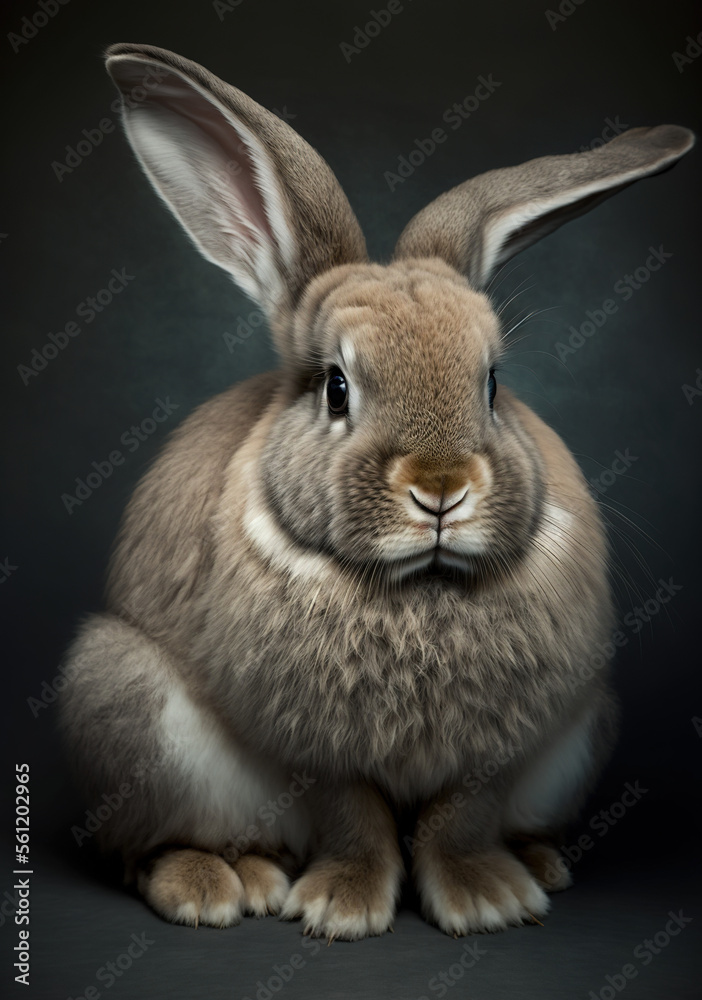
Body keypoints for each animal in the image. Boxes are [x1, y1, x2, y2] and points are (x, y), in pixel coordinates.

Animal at [59, 41, 694, 940]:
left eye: (492, 383)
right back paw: (218, 885)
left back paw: (539, 862)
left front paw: (489, 901)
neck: (417, 585)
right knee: (142, 847)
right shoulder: (313, 751)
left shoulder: (498, 749)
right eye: (336, 387)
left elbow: (459, 817)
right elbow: (351, 815)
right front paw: (343, 907)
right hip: (124, 701)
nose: (441, 488)